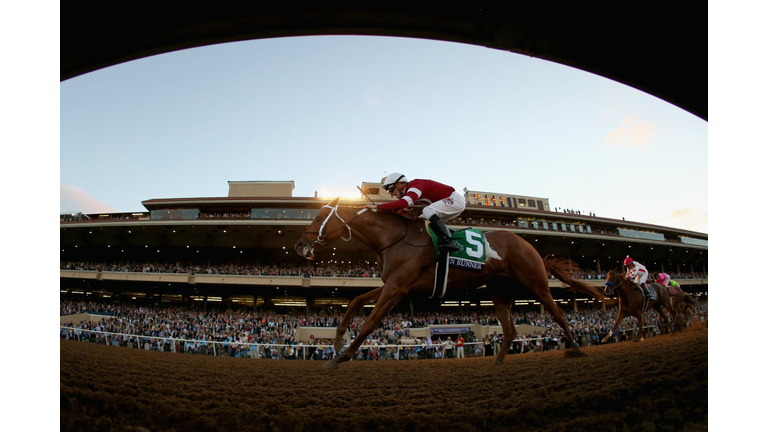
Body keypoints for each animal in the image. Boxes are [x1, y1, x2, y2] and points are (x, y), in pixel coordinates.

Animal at [296, 197, 612, 370]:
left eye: (321, 216)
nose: (300, 245)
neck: (393, 239)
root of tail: (526, 243)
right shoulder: (393, 284)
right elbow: (355, 301)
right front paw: (338, 339)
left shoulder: (397, 288)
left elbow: (370, 322)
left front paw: (340, 357)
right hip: (500, 292)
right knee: (510, 330)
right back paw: (498, 361)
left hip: (536, 284)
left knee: (558, 314)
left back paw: (576, 348)